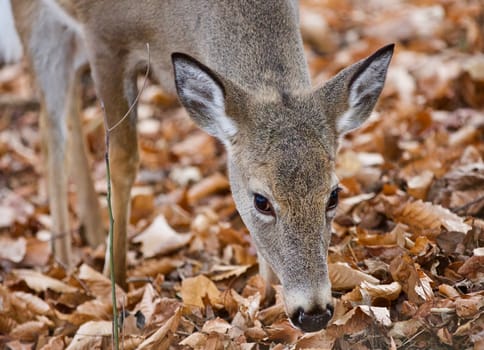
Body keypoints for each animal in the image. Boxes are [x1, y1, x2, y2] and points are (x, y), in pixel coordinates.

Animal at [0, 0, 394, 330]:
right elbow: (124, 158)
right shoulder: (103, 34)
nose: (313, 313)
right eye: (261, 201)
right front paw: (115, 284)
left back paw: (91, 234)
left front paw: (264, 294)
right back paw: (65, 261)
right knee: (50, 127)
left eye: (334, 195)